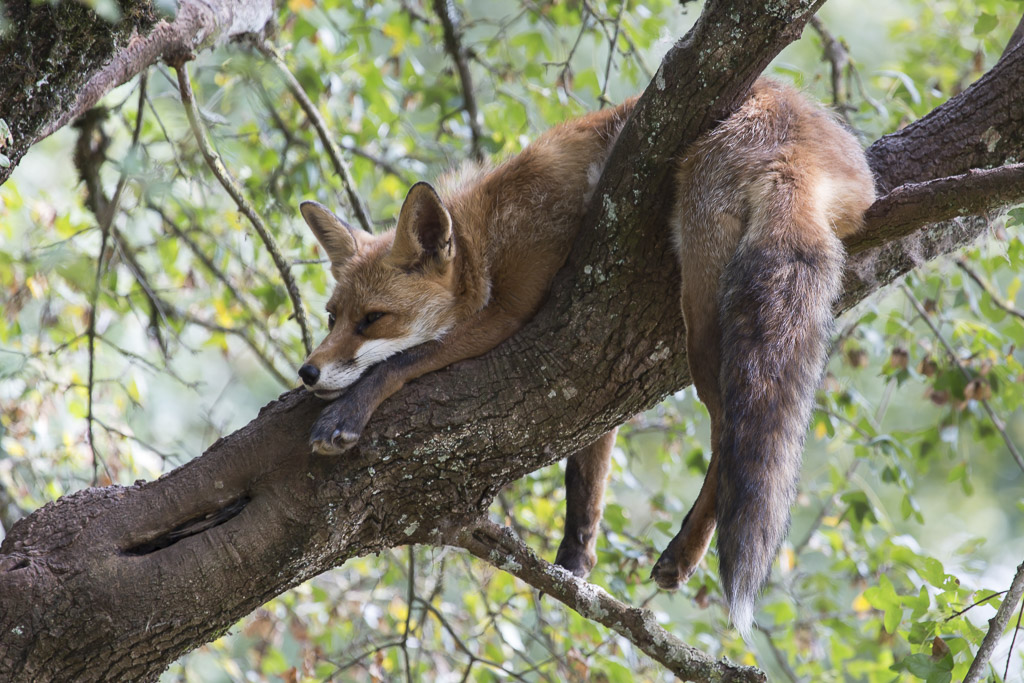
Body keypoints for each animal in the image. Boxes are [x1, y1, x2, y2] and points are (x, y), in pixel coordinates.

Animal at [299, 80, 876, 643]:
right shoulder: (594, 360)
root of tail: (796, 125)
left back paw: (686, 551)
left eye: (373, 320)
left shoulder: (512, 312)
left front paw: (344, 415)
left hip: (702, 312)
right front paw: (575, 559)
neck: (486, 232)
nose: (307, 372)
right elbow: (587, 471)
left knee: (725, 433)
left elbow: (399, 363)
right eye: (331, 317)